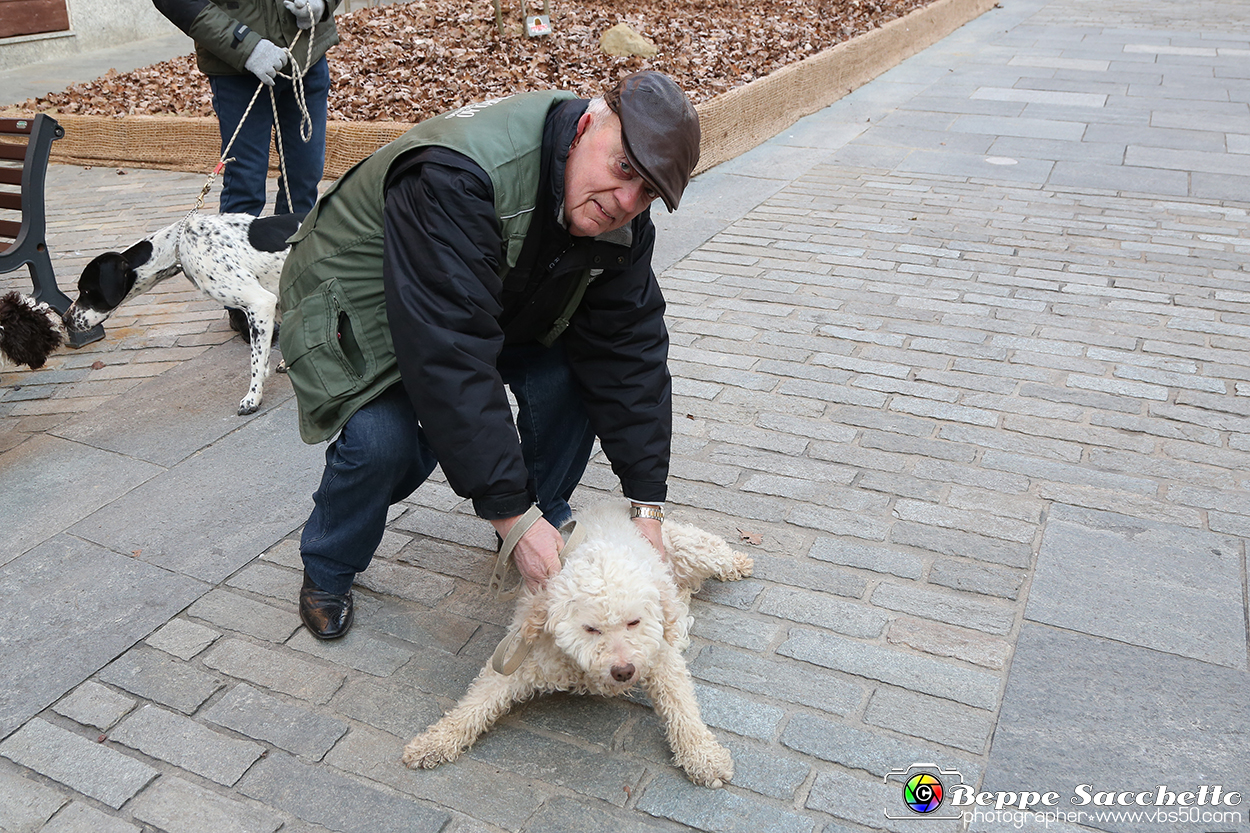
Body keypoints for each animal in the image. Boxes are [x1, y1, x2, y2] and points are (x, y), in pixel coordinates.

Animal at [64, 211, 305, 412]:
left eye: (86, 290)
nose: (65, 319)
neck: (178, 245)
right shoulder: (275, 300)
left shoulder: (260, 302)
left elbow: (257, 363)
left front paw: (253, 398)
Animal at [402, 500, 750, 785]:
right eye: (591, 629)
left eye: (634, 622)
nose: (624, 671)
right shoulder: (523, 655)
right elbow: (476, 702)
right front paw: (435, 741)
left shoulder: (660, 657)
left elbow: (682, 706)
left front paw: (703, 756)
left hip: (688, 550)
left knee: (711, 552)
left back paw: (737, 562)